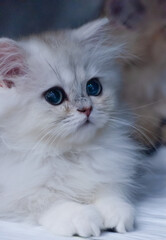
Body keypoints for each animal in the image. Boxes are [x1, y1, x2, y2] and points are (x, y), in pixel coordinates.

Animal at [0, 17, 140, 237]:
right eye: (54, 96)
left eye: (93, 87)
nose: (87, 109)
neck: (69, 154)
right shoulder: (19, 192)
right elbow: (51, 200)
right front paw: (82, 218)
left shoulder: (108, 173)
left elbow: (110, 193)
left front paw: (116, 214)